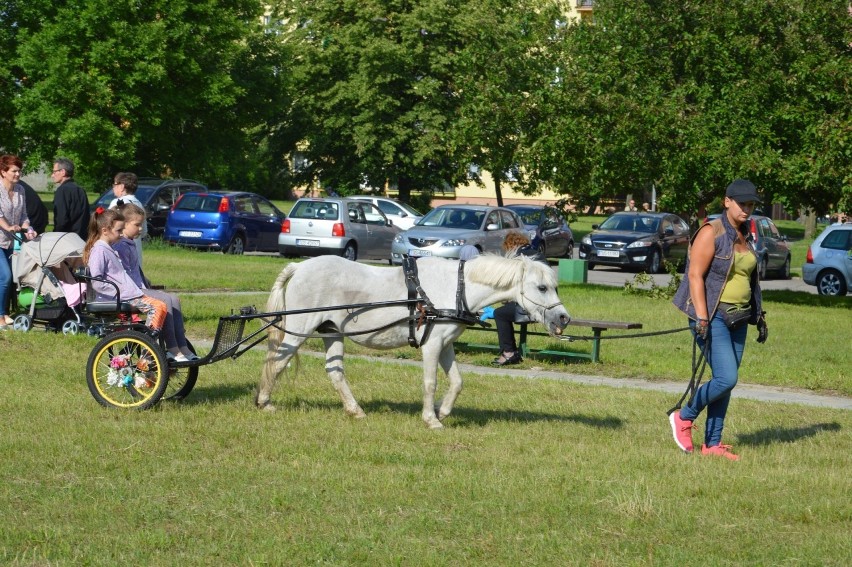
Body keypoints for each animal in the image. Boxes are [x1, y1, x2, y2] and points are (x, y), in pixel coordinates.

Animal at [256, 255, 568, 428]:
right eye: (542, 287)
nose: (563, 318)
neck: (456, 289)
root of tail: (299, 267)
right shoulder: (432, 344)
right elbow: (430, 382)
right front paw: (431, 419)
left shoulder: (446, 344)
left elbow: (457, 382)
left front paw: (443, 411)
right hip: (301, 327)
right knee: (278, 361)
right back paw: (264, 402)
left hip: (331, 331)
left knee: (335, 372)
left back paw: (355, 411)